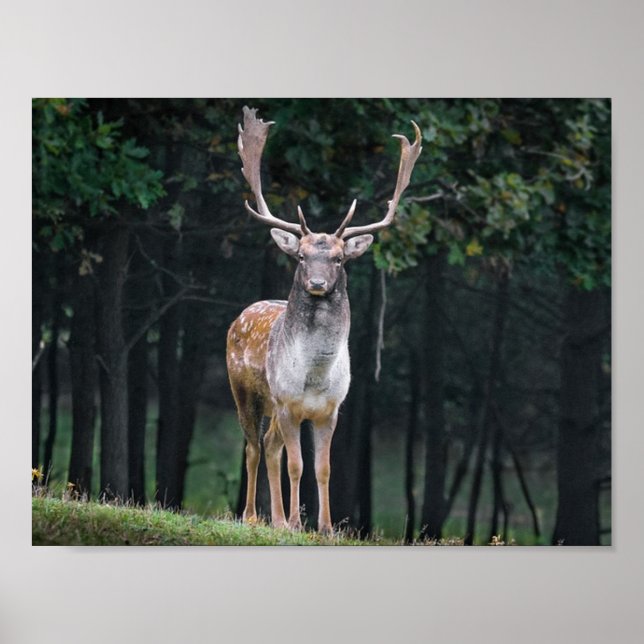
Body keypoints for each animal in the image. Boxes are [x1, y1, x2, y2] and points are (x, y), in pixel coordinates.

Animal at [226, 106, 422, 535]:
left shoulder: (331, 410)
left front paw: (326, 527)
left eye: (338, 258)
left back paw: (276, 519)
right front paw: (296, 522)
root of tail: (241, 315)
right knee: (253, 446)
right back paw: (253, 516)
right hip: (245, 391)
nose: (316, 283)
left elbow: (323, 468)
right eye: (301, 256)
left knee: (269, 446)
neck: (314, 376)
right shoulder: (287, 403)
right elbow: (296, 465)